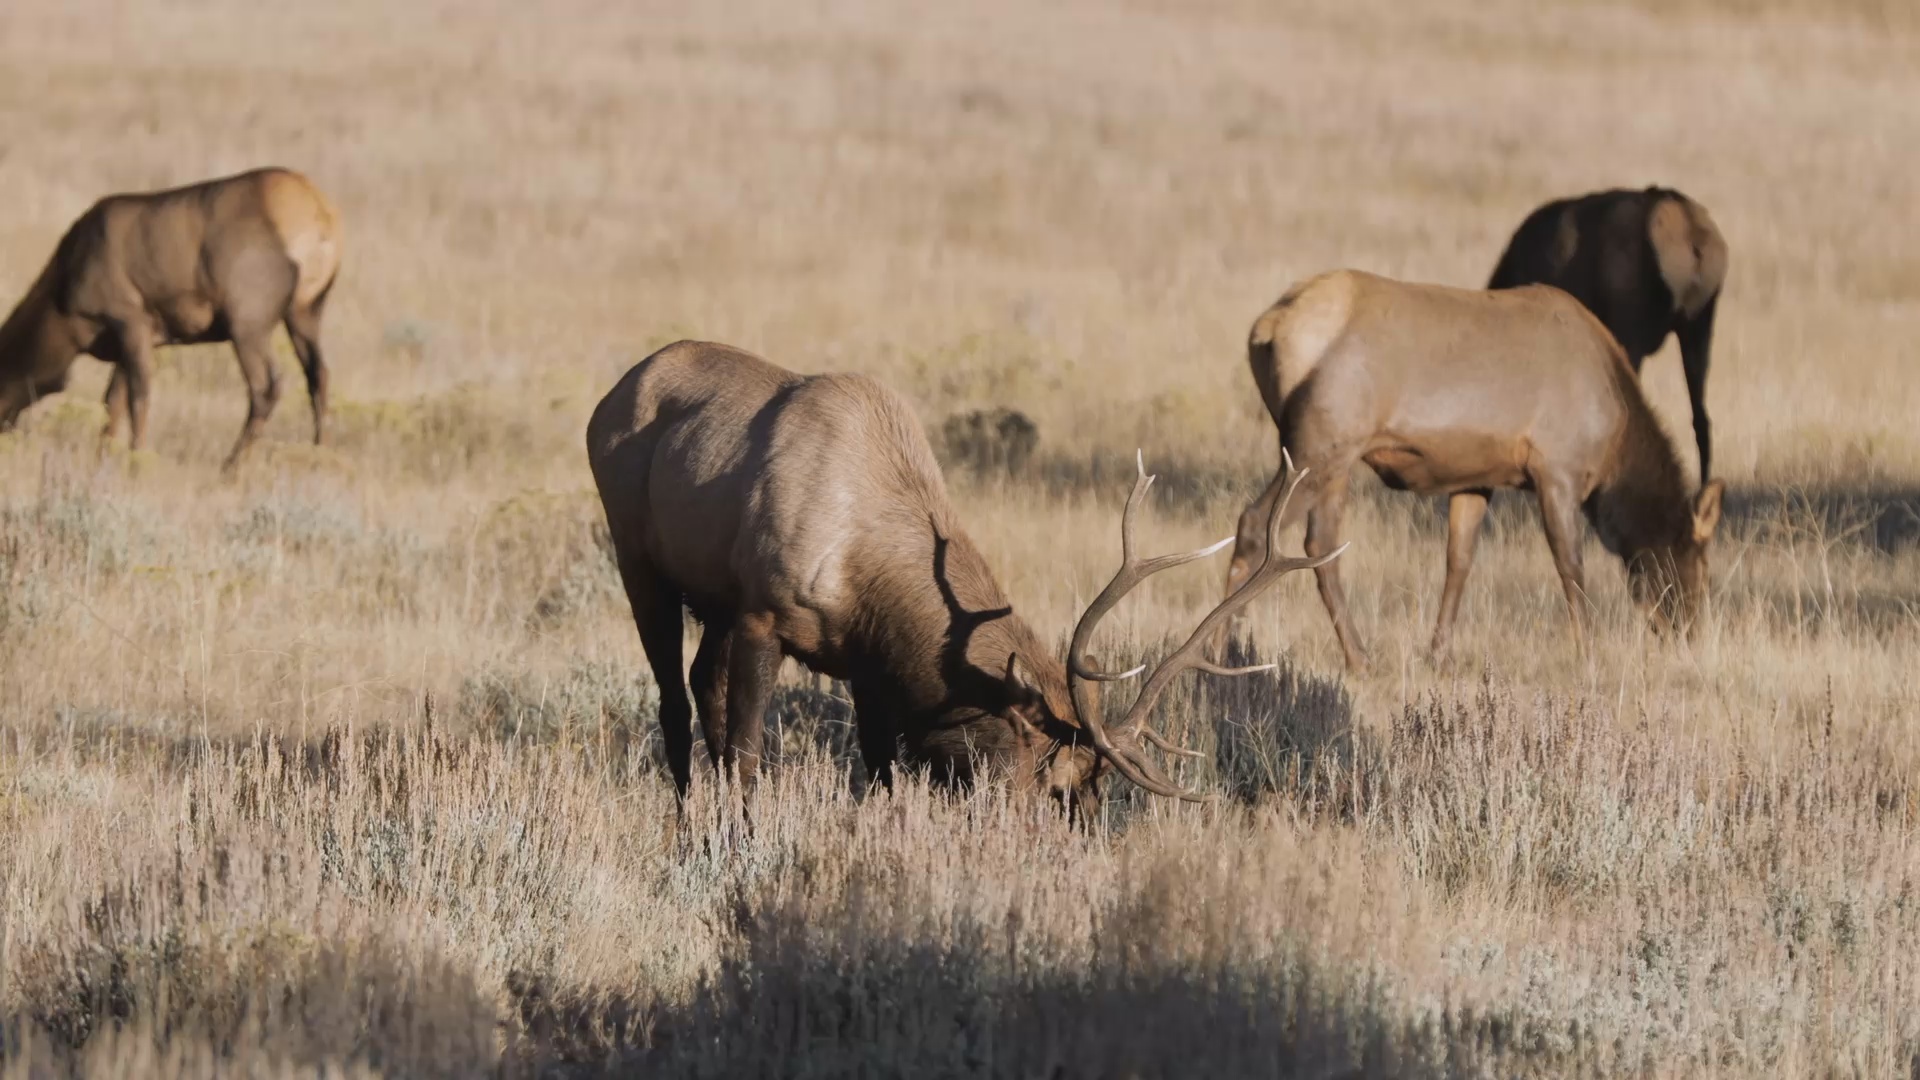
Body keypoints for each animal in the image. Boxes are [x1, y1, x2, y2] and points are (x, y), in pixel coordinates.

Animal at [0, 167, 342, 470]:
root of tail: (321, 217)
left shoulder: (130, 319)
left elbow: (138, 398)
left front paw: (135, 460)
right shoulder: (135, 338)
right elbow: (113, 400)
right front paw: (102, 459)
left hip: (248, 322)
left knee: (266, 387)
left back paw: (230, 470)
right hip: (305, 312)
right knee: (318, 375)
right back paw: (318, 457)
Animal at [587, 340, 1341, 815]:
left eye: (1099, 789)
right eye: (1059, 784)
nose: (1083, 843)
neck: (864, 570)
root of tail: (607, 397)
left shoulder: (864, 662)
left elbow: (880, 771)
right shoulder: (762, 616)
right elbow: (748, 756)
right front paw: (741, 838)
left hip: (708, 598)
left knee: (699, 683)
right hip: (640, 564)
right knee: (675, 704)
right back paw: (690, 827)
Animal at [1221, 270, 1724, 673]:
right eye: (1698, 564)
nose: (1691, 635)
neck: (1615, 444)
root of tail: (1267, 330)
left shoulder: (1476, 478)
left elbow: (1459, 562)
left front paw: (1439, 654)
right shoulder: (1557, 469)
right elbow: (1571, 566)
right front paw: (1587, 654)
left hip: (1332, 456)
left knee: (1319, 543)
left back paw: (1357, 657)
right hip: (1321, 444)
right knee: (1256, 525)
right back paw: (1228, 650)